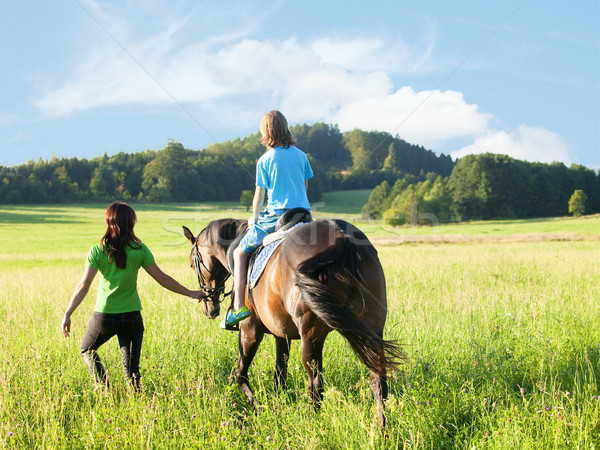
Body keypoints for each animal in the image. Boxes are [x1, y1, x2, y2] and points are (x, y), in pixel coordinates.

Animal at [183, 218, 404, 426]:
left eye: (193, 264)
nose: (209, 308)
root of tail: (341, 238)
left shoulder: (250, 331)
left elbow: (240, 373)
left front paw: (256, 409)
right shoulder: (282, 335)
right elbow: (280, 375)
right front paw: (276, 407)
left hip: (310, 337)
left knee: (315, 384)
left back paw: (312, 423)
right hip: (372, 329)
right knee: (378, 381)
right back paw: (382, 430)